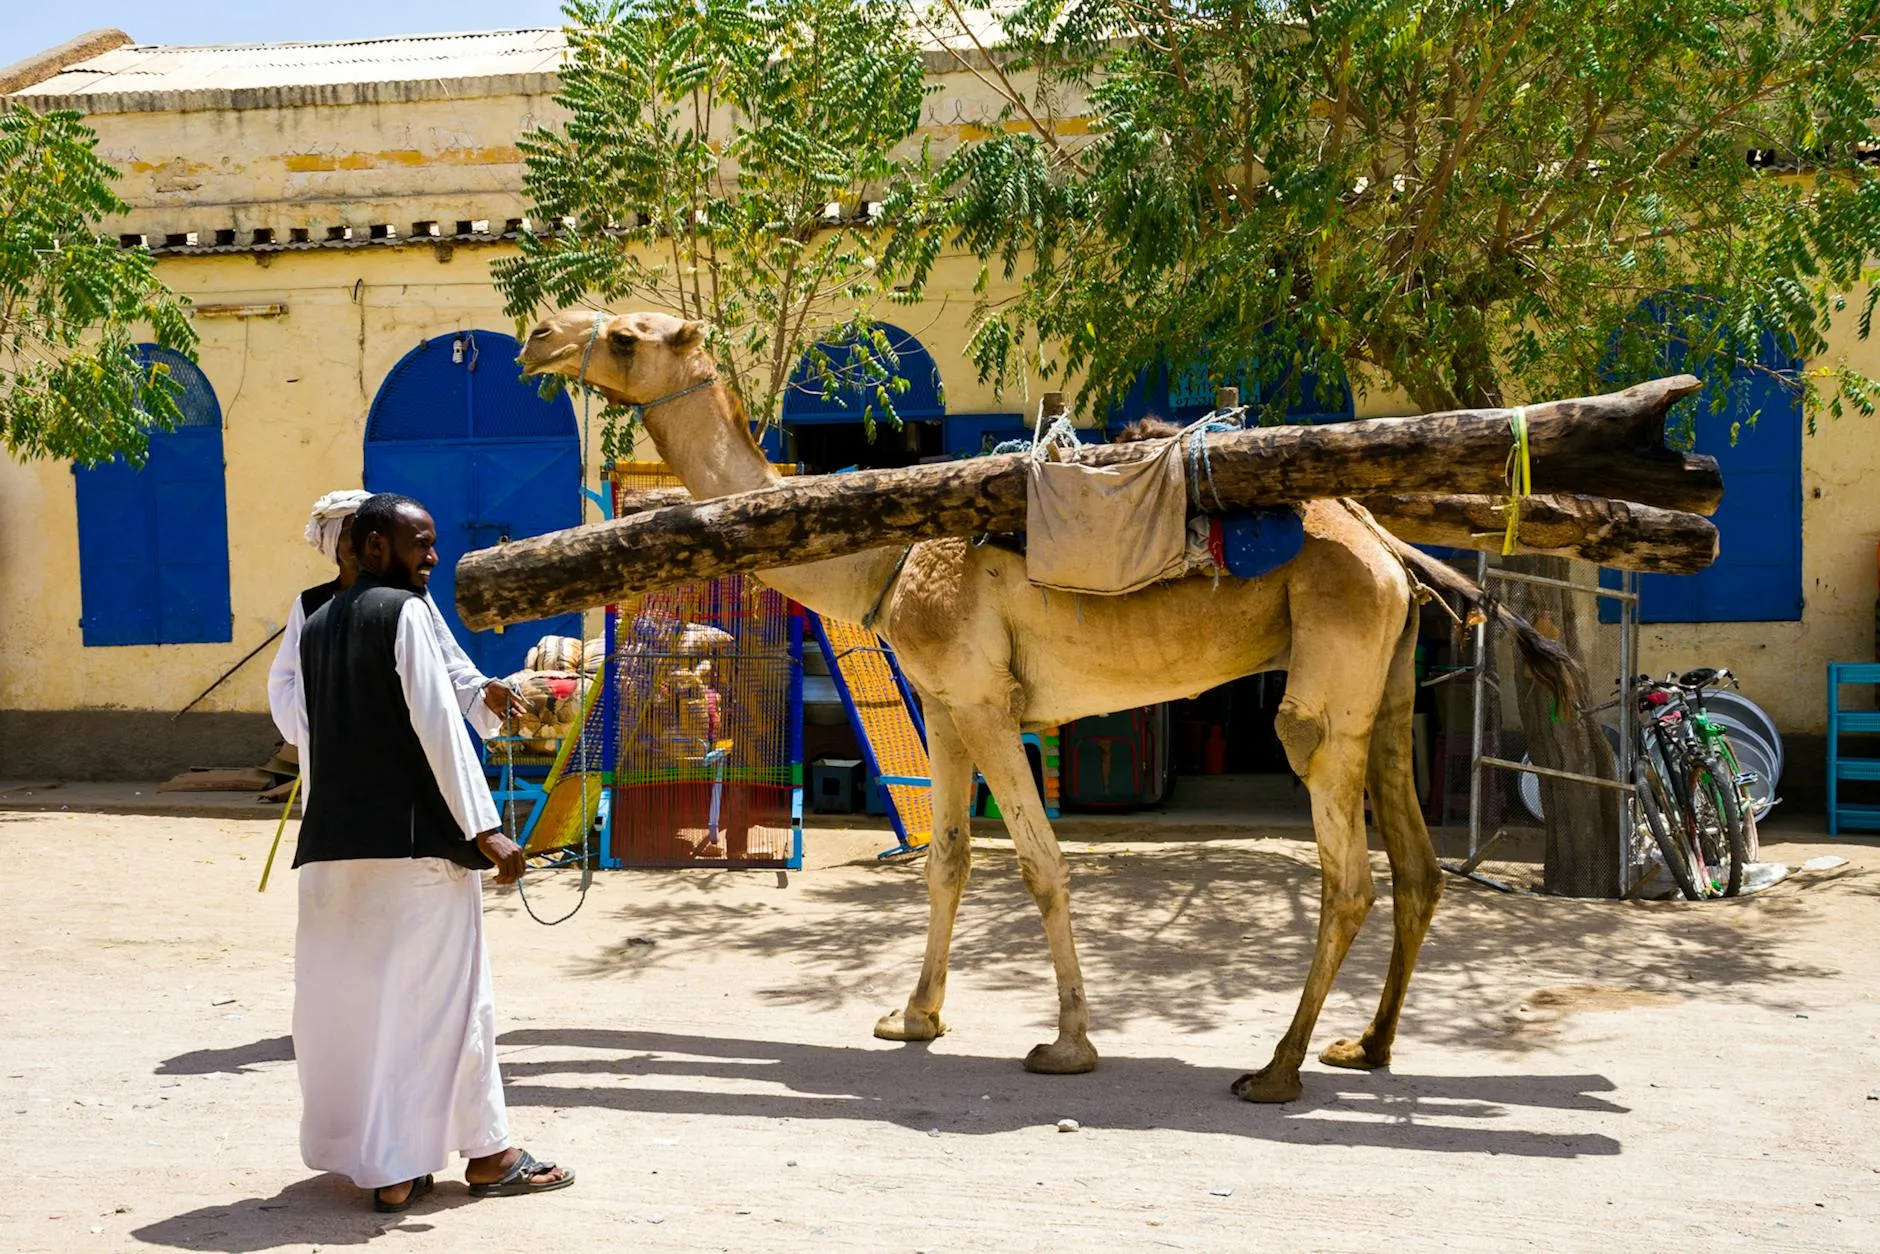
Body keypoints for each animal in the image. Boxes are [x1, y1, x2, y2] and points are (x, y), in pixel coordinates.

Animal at [518, 309, 1573, 1102]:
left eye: (625, 335)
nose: (537, 336)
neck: (888, 556)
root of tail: (1389, 548)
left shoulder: (987, 702)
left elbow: (1040, 864)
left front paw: (1067, 1044)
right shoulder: (943, 706)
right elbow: (945, 859)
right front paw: (914, 1017)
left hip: (1328, 682)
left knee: (1345, 869)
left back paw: (1276, 1070)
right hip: (1382, 688)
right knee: (1417, 867)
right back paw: (1368, 1045)